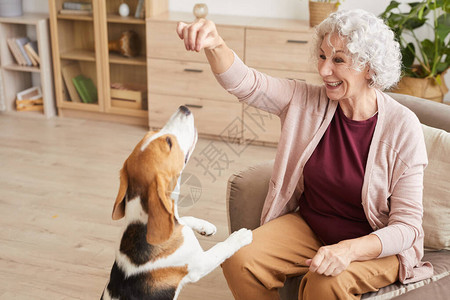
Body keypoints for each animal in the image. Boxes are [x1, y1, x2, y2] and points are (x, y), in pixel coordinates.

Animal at [100, 106, 251, 300]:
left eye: (154, 133)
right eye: (169, 142)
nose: (184, 108)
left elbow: (184, 218)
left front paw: (206, 226)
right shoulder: (199, 263)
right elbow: (222, 247)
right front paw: (241, 236)